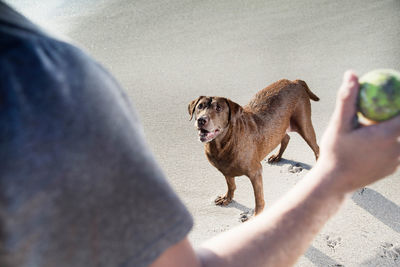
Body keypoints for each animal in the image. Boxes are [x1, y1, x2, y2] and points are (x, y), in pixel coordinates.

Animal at [189, 79, 320, 216]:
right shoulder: (225, 169)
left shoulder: (255, 172)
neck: (222, 145)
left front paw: (255, 216)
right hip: (279, 128)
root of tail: (295, 81)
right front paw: (227, 198)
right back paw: (277, 157)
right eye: (200, 106)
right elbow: (231, 185)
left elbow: (258, 199)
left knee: (316, 147)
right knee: (286, 137)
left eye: (218, 108)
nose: (201, 120)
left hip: (304, 125)